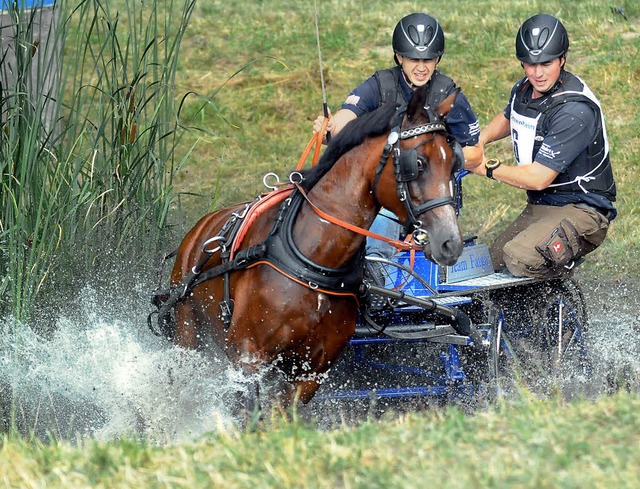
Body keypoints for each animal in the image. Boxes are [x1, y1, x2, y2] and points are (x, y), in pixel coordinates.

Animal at [158, 85, 462, 412]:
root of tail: (199, 228)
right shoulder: (247, 356)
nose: (450, 242)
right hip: (187, 329)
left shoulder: (309, 371)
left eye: (453, 164)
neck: (316, 261)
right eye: (417, 164)